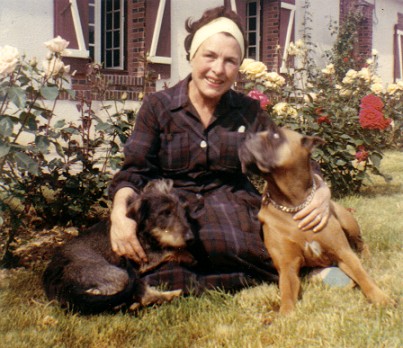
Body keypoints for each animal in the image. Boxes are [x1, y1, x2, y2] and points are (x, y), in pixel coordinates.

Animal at [43, 181, 195, 314]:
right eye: (165, 212)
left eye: (183, 211)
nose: (191, 238)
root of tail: (60, 286)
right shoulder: (143, 256)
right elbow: (169, 250)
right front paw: (189, 256)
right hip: (121, 275)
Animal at [240, 128, 394, 316]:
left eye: (275, 135)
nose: (245, 136)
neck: (293, 203)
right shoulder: (287, 265)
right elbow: (286, 292)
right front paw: (285, 315)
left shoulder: (343, 252)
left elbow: (363, 276)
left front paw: (381, 298)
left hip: (348, 223)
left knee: (361, 244)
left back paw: (367, 258)